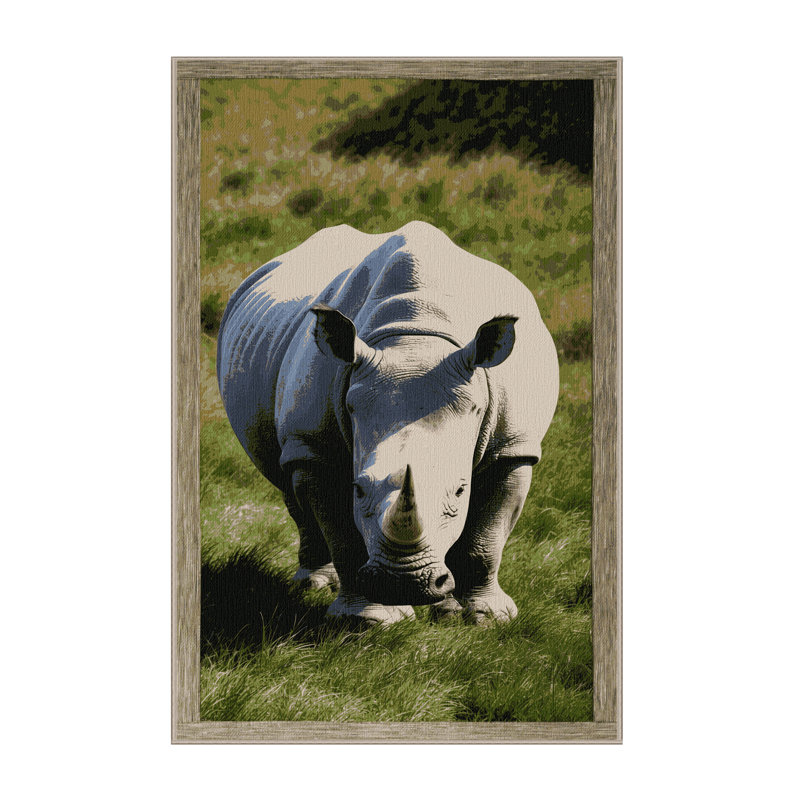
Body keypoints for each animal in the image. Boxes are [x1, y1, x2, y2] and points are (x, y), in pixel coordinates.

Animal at [217, 221, 559, 624]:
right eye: (358, 489)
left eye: (460, 491)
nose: (404, 583)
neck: (415, 337)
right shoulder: (314, 443)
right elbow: (343, 536)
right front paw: (369, 620)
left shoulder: (513, 446)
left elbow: (486, 538)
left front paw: (484, 618)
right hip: (293, 425)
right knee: (288, 477)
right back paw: (315, 585)